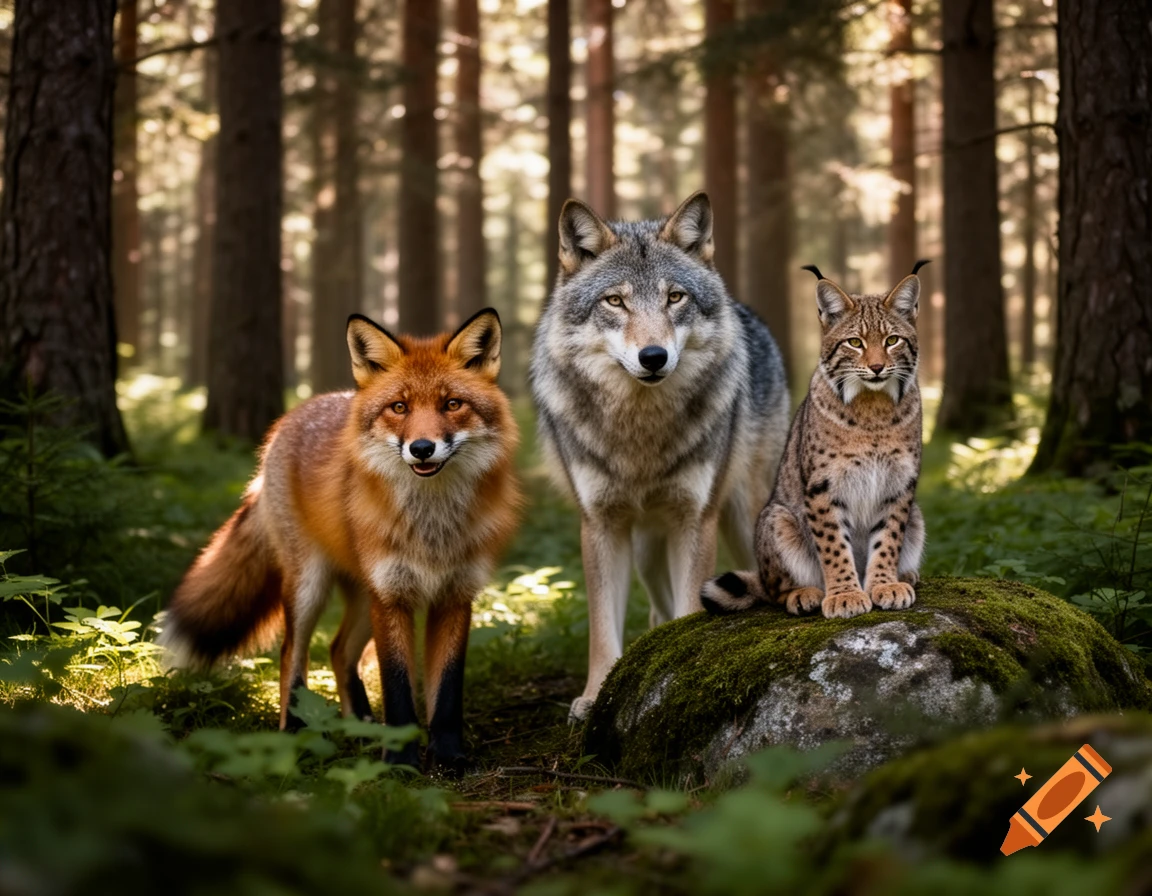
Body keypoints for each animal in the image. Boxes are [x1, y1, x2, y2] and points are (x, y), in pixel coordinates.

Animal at [161, 309, 521, 771]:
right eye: (399, 407)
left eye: (452, 404)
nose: (422, 448)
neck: (431, 527)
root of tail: (296, 414)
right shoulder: (392, 599)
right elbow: (398, 690)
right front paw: (399, 761)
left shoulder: (455, 597)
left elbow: (447, 692)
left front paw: (448, 756)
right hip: (311, 589)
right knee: (291, 657)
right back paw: (294, 734)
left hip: (365, 599)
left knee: (337, 650)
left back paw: (362, 726)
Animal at [530, 191, 791, 721]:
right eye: (615, 301)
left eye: (675, 298)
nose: (654, 357)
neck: (640, 434)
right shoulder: (600, 525)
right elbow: (602, 628)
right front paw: (596, 695)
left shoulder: (695, 519)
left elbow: (692, 610)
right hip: (649, 552)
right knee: (657, 610)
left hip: (745, 518)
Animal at [702, 264, 926, 620]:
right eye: (854, 343)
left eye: (892, 340)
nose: (877, 368)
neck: (873, 406)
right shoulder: (823, 484)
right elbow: (833, 546)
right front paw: (845, 594)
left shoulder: (900, 483)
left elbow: (889, 538)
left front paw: (884, 584)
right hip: (776, 516)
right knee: (771, 589)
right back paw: (803, 593)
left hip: (917, 513)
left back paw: (906, 574)